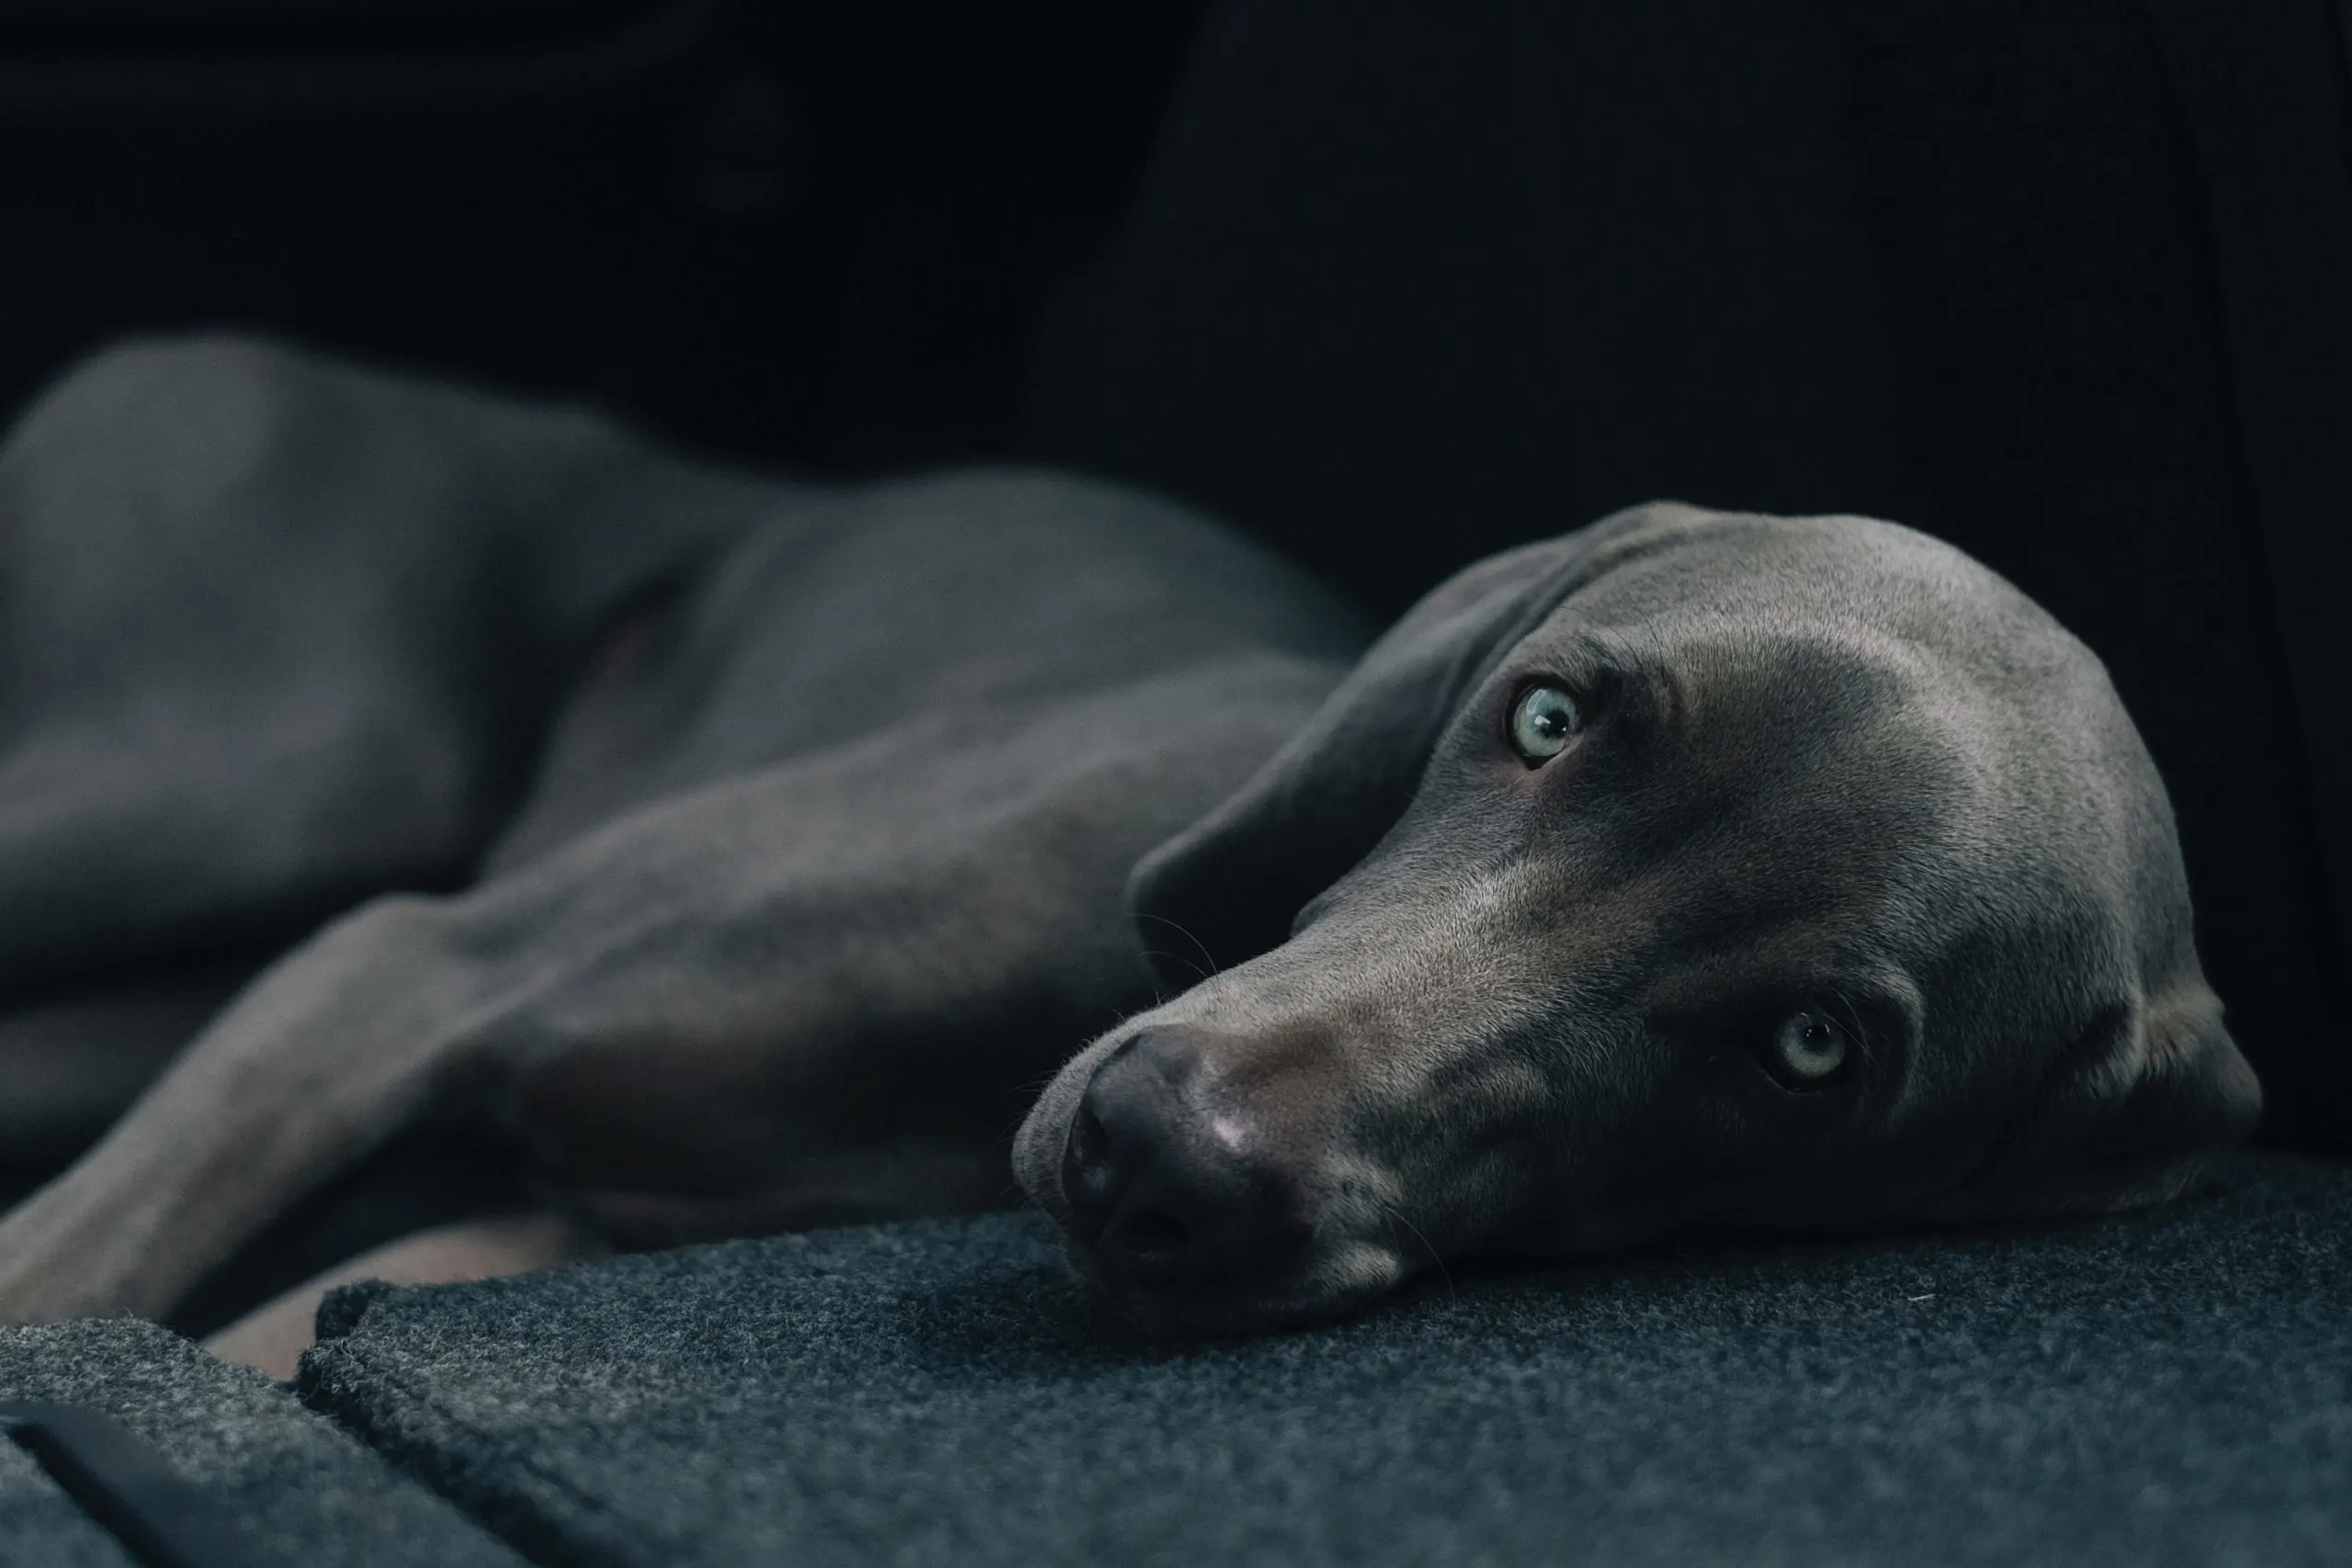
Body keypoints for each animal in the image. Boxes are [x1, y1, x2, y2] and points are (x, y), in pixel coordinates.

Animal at [0, 341, 2257, 1335]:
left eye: (1810, 1053)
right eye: (1543, 717)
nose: (1150, 1154)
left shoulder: (529, 1229)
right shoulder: (402, 970)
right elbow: (65, 1285)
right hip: (253, 769)